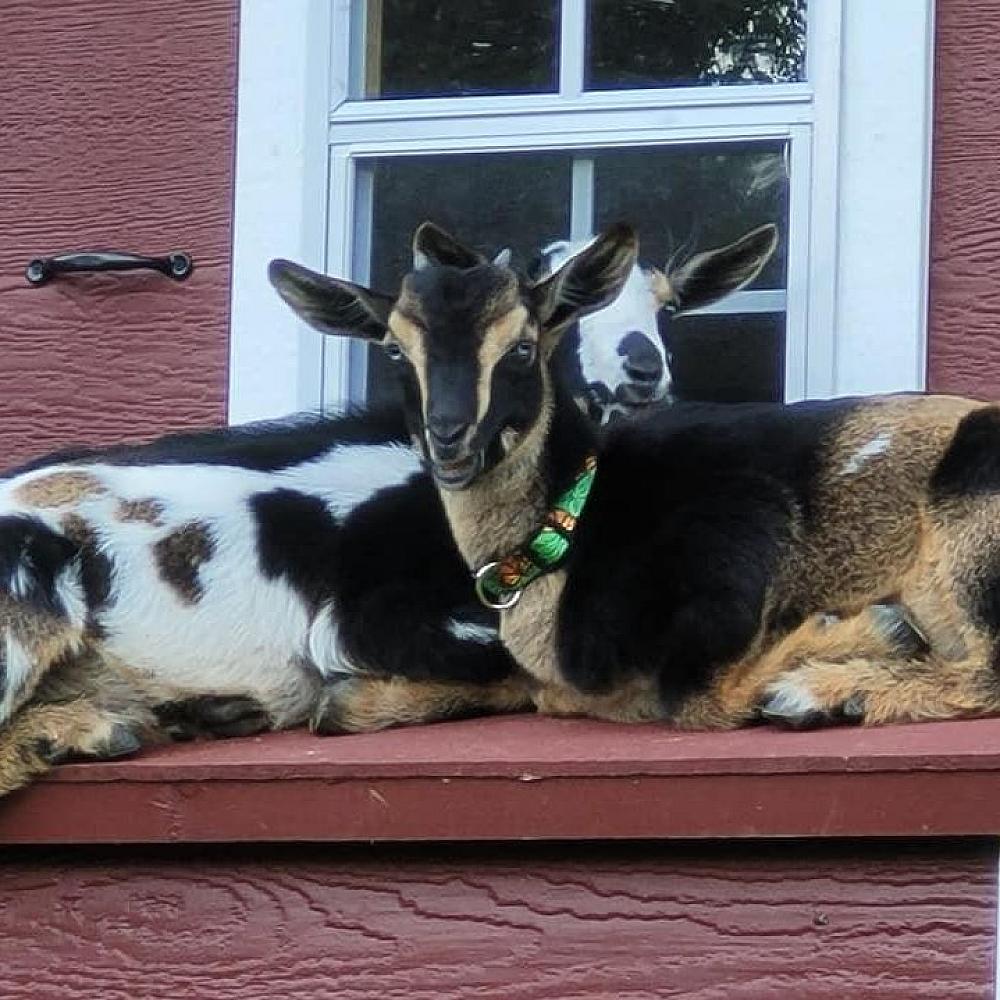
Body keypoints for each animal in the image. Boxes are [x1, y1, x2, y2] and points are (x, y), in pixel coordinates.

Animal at [270, 220, 1000, 731]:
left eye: (523, 346)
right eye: (395, 349)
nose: (452, 437)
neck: (573, 517)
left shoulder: (742, 525)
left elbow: (696, 697)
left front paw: (863, 639)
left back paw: (824, 691)